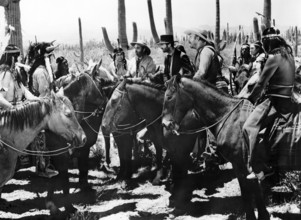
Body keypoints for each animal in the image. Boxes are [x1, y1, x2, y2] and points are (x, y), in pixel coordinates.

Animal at [162, 75, 270, 220]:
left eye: (169, 97)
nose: (165, 124)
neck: (229, 117)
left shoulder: (241, 163)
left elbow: (249, 191)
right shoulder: (243, 166)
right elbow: (250, 190)